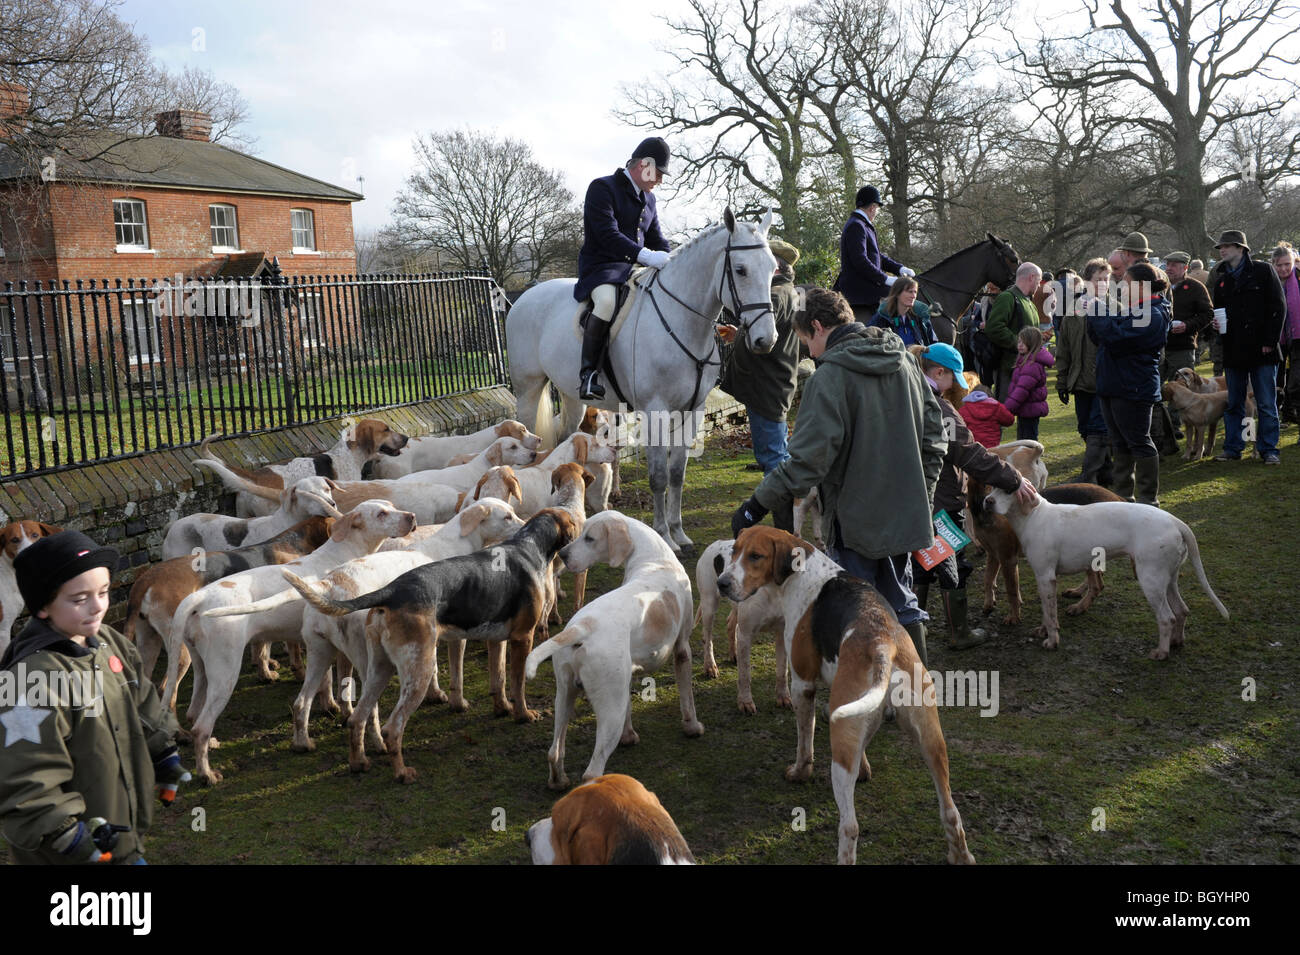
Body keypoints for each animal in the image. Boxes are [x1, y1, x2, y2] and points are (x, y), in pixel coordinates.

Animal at [504, 209, 769, 553]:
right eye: (740, 270)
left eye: (774, 268)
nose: (766, 339)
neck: (683, 323)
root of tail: (525, 297)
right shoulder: (655, 409)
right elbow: (658, 476)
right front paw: (664, 536)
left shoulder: (693, 409)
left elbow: (677, 473)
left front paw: (680, 533)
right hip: (529, 388)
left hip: (573, 396)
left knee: (567, 437)